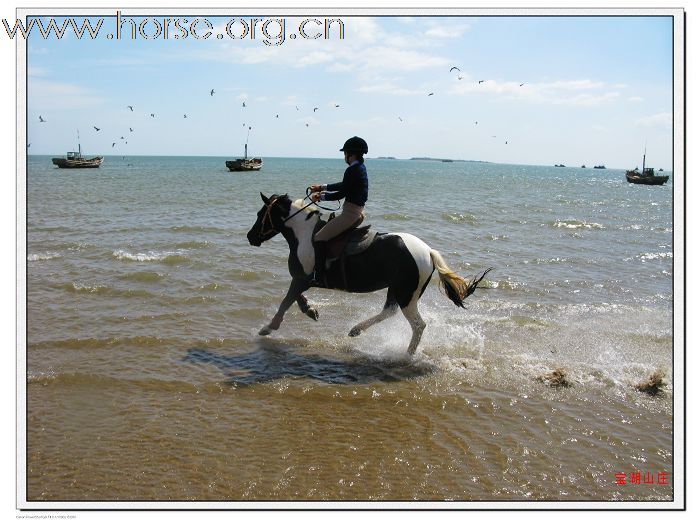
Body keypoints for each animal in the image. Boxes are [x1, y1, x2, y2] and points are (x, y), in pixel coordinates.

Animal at [246, 192, 492, 356]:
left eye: (261, 214)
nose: (250, 237)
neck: (304, 235)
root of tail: (428, 252)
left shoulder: (302, 279)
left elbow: (287, 301)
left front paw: (268, 328)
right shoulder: (302, 281)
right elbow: (296, 299)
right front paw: (312, 311)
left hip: (406, 293)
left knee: (418, 325)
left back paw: (407, 355)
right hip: (397, 289)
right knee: (389, 311)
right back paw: (356, 330)